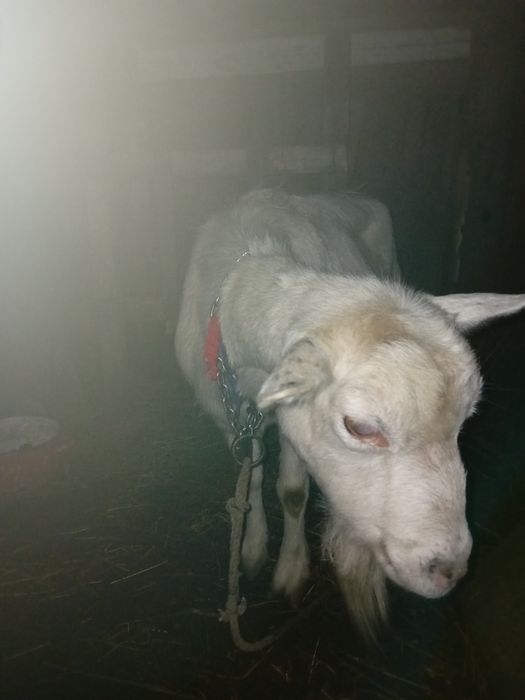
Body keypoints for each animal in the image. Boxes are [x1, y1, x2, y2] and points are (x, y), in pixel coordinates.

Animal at [175, 189, 525, 637]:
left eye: (463, 423)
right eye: (359, 427)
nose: (449, 571)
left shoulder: (289, 426)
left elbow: (292, 493)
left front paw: (291, 569)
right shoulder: (229, 418)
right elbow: (250, 479)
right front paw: (252, 549)